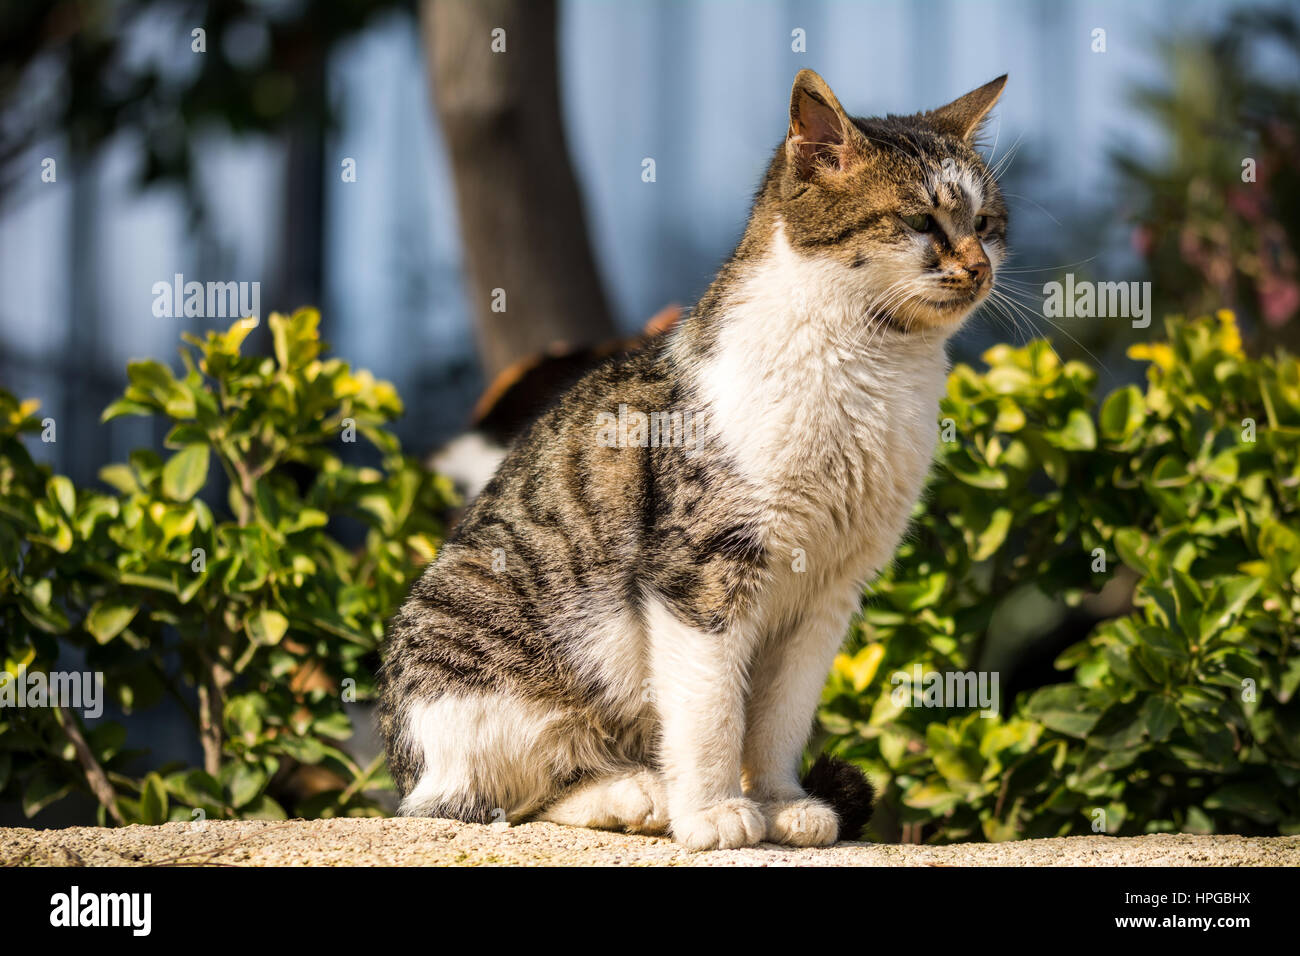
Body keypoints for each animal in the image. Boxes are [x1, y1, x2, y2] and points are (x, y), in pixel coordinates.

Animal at [377, 67, 1003, 848]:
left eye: (987, 224)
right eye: (923, 222)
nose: (980, 268)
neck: (875, 367)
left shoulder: (828, 596)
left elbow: (780, 716)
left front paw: (781, 803)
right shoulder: (699, 573)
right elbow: (711, 709)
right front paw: (711, 812)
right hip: (478, 669)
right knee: (494, 798)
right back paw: (638, 795)